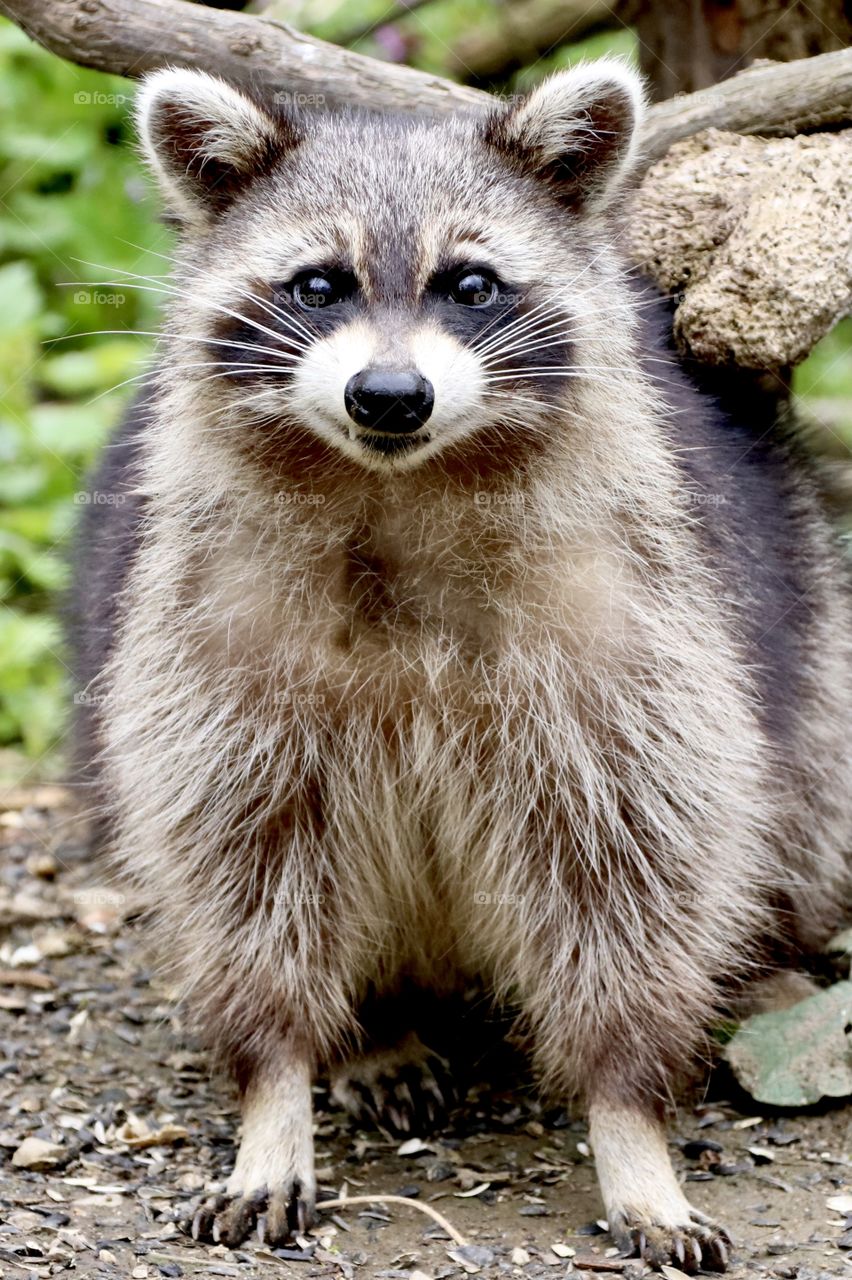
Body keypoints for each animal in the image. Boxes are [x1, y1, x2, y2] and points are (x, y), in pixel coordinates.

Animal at [72, 62, 849, 1280]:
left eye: (470, 284)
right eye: (320, 284)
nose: (389, 395)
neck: (398, 486)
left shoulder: (635, 644)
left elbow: (633, 867)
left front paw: (629, 1115)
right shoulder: (209, 654)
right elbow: (243, 865)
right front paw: (275, 1087)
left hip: (810, 634)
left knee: (799, 806)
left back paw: (766, 952)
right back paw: (374, 1028)